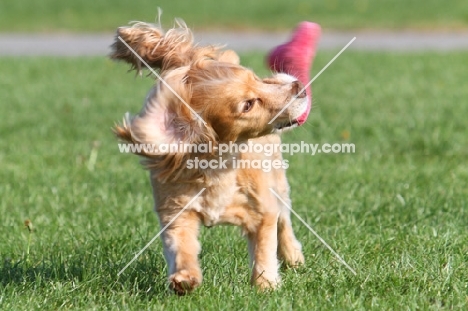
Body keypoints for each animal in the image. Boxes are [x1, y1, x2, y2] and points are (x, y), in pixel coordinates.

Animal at [110, 22, 308, 294]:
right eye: (248, 105)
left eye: (256, 79)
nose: (299, 88)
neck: (218, 167)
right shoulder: (175, 213)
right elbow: (181, 246)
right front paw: (184, 278)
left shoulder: (263, 208)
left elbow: (264, 249)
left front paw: (265, 286)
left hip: (278, 180)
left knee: (284, 219)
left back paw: (293, 257)